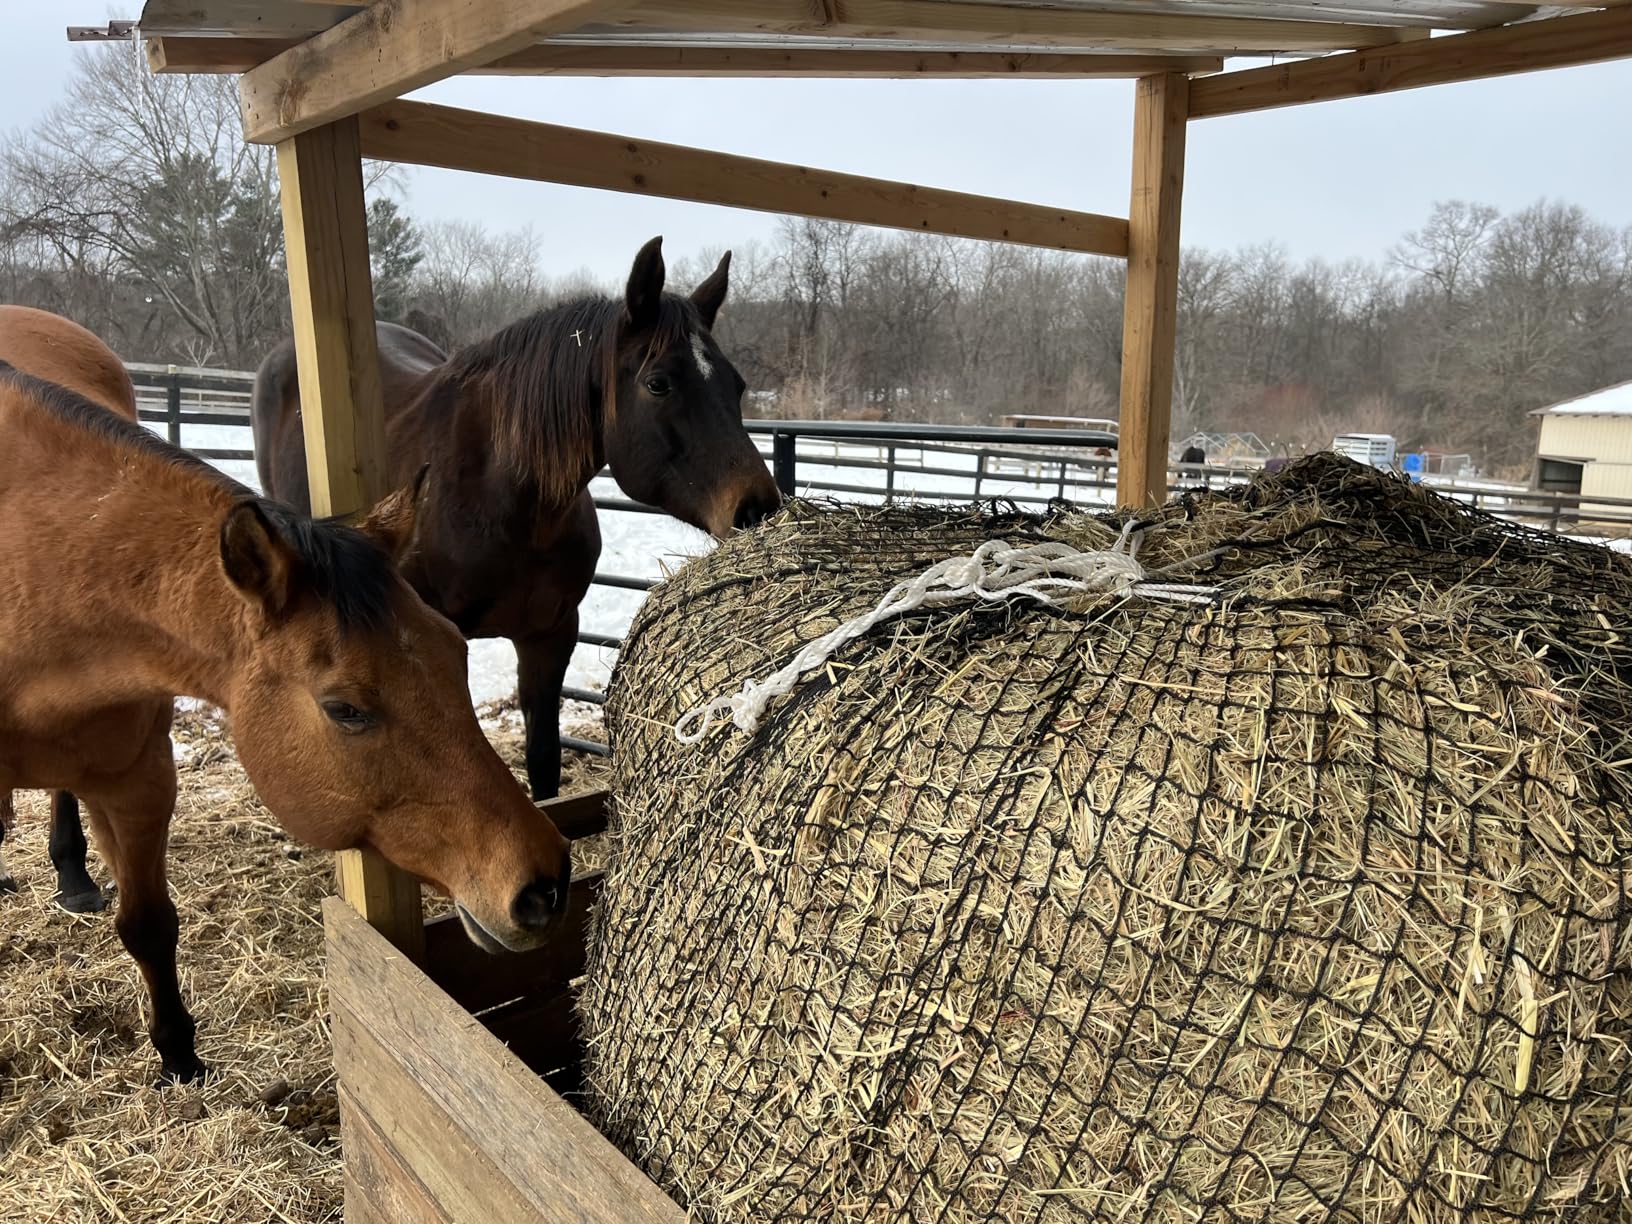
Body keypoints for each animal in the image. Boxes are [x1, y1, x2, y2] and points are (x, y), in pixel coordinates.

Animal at [0, 307, 572, 1082]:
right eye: (345, 709)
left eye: (458, 653)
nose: (544, 886)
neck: (30, 566)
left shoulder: (139, 780)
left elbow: (149, 923)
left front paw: (179, 1055)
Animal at [251, 236, 781, 799]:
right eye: (659, 384)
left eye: (736, 384)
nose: (757, 506)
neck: (497, 498)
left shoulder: (551, 635)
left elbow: (543, 762)